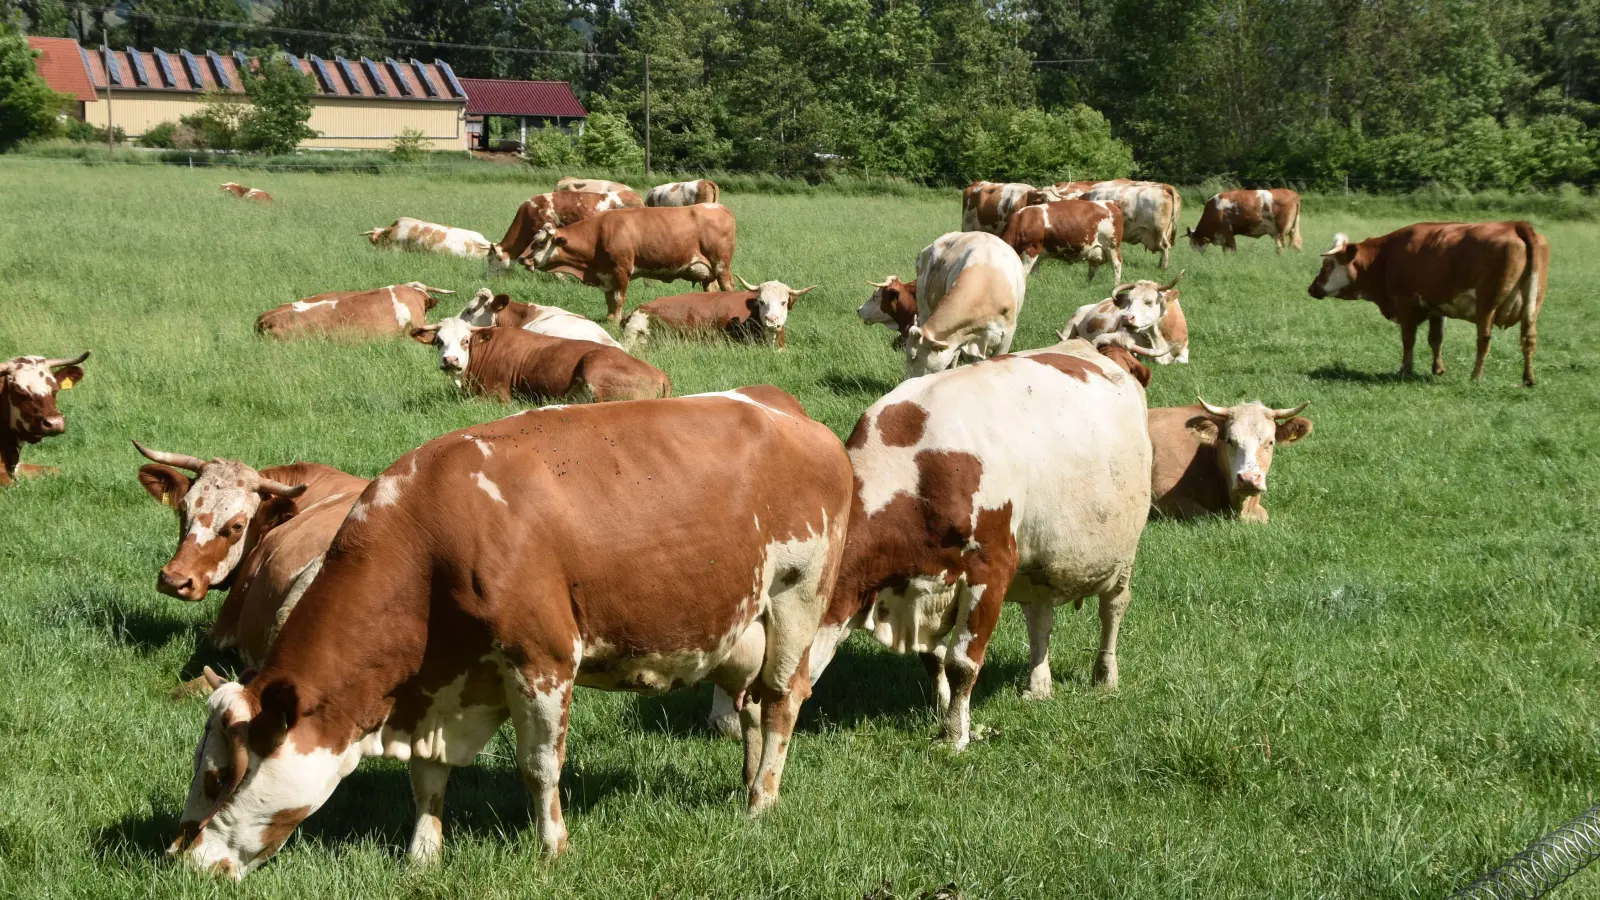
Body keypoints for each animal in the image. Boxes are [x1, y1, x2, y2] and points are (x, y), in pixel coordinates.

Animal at [166, 389, 854, 877]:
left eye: (218, 777)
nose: (181, 862)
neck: (434, 536)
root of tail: (788, 411)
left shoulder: (542, 659)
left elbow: (539, 765)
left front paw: (552, 848)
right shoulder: (439, 687)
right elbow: (428, 776)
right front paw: (422, 855)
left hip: (797, 599)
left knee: (781, 702)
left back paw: (761, 804)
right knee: (751, 708)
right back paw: (749, 782)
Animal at [411, 322, 670, 403]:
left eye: (466, 340)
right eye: (438, 341)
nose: (450, 360)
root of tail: (661, 375)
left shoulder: (496, 395)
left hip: (594, 366)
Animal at [519, 204, 738, 323]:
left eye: (539, 242)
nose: (521, 258)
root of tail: (718, 207)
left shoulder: (621, 270)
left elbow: (617, 298)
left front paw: (616, 320)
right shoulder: (607, 274)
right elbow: (609, 299)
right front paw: (609, 319)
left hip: (721, 265)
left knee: (728, 288)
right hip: (708, 274)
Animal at [1308, 224, 1549, 386]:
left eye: (1327, 264)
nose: (1312, 288)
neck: (1386, 257)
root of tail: (1514, 225)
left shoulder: (1405, 303)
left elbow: (1408, 339)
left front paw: (1405, 369)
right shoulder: (1436, 307)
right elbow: (1436, 339)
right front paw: (1438, 369)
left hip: (1486, 306)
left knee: (1484, 340)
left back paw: (1476, 376)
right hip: (1533, 306)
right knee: (1529, 338)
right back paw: (1528, 379)